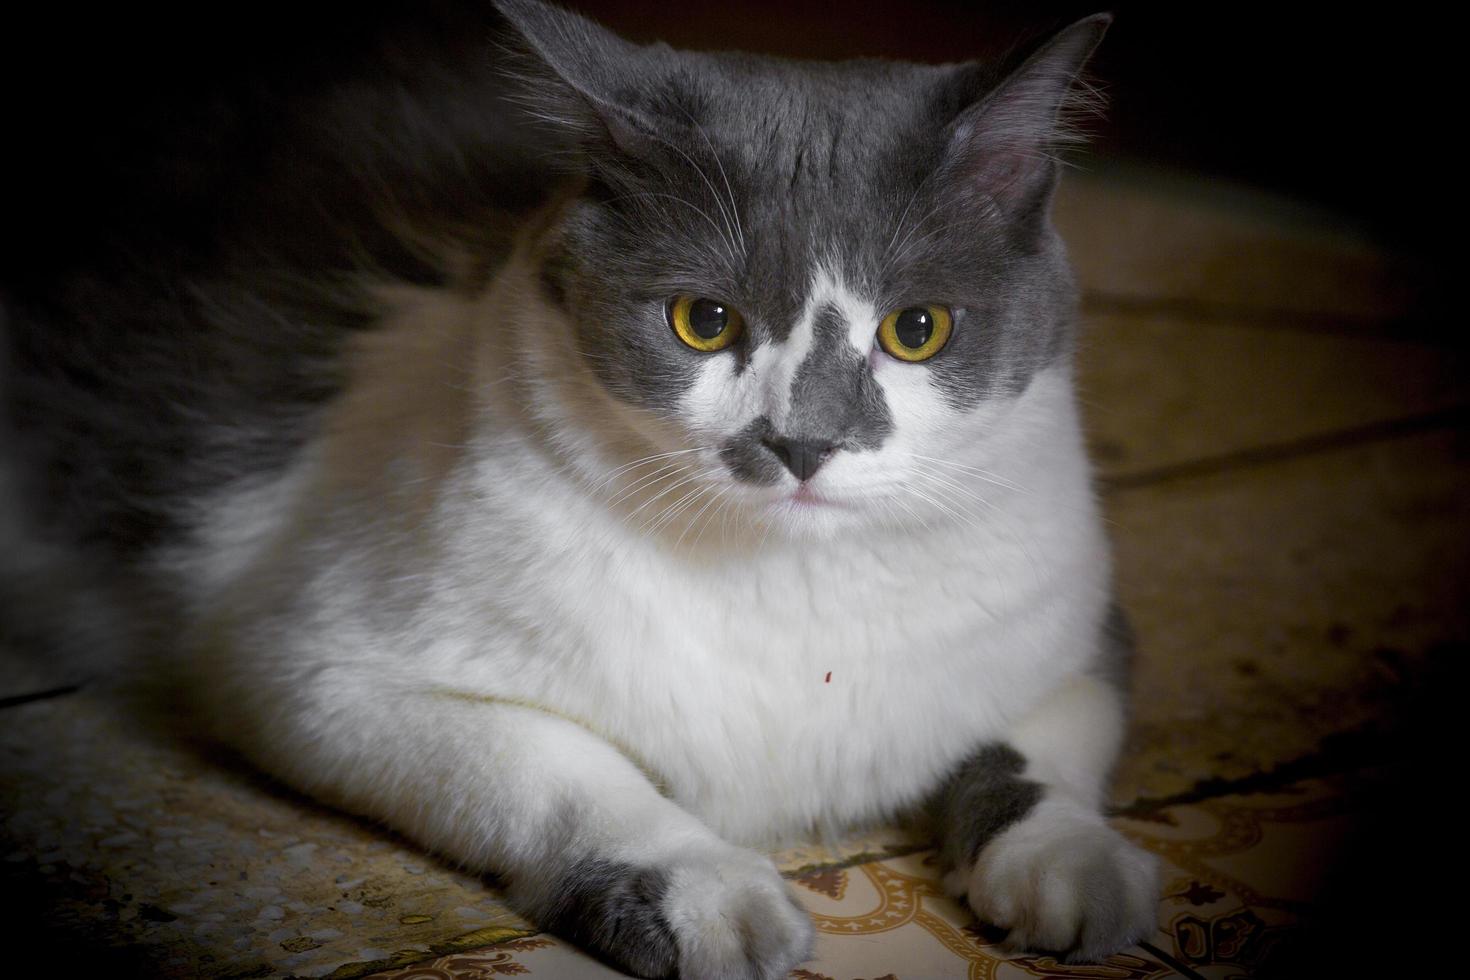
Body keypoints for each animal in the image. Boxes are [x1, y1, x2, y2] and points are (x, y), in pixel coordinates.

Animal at [0, 1, 1158, 980]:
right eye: (703, 321)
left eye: (919, 329)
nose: (803, 442)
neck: (785, 582)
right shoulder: (309, 663)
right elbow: (558, 766)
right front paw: (705, 890)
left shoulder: (1079, 622)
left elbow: (1047, 736)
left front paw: (1073, 860)